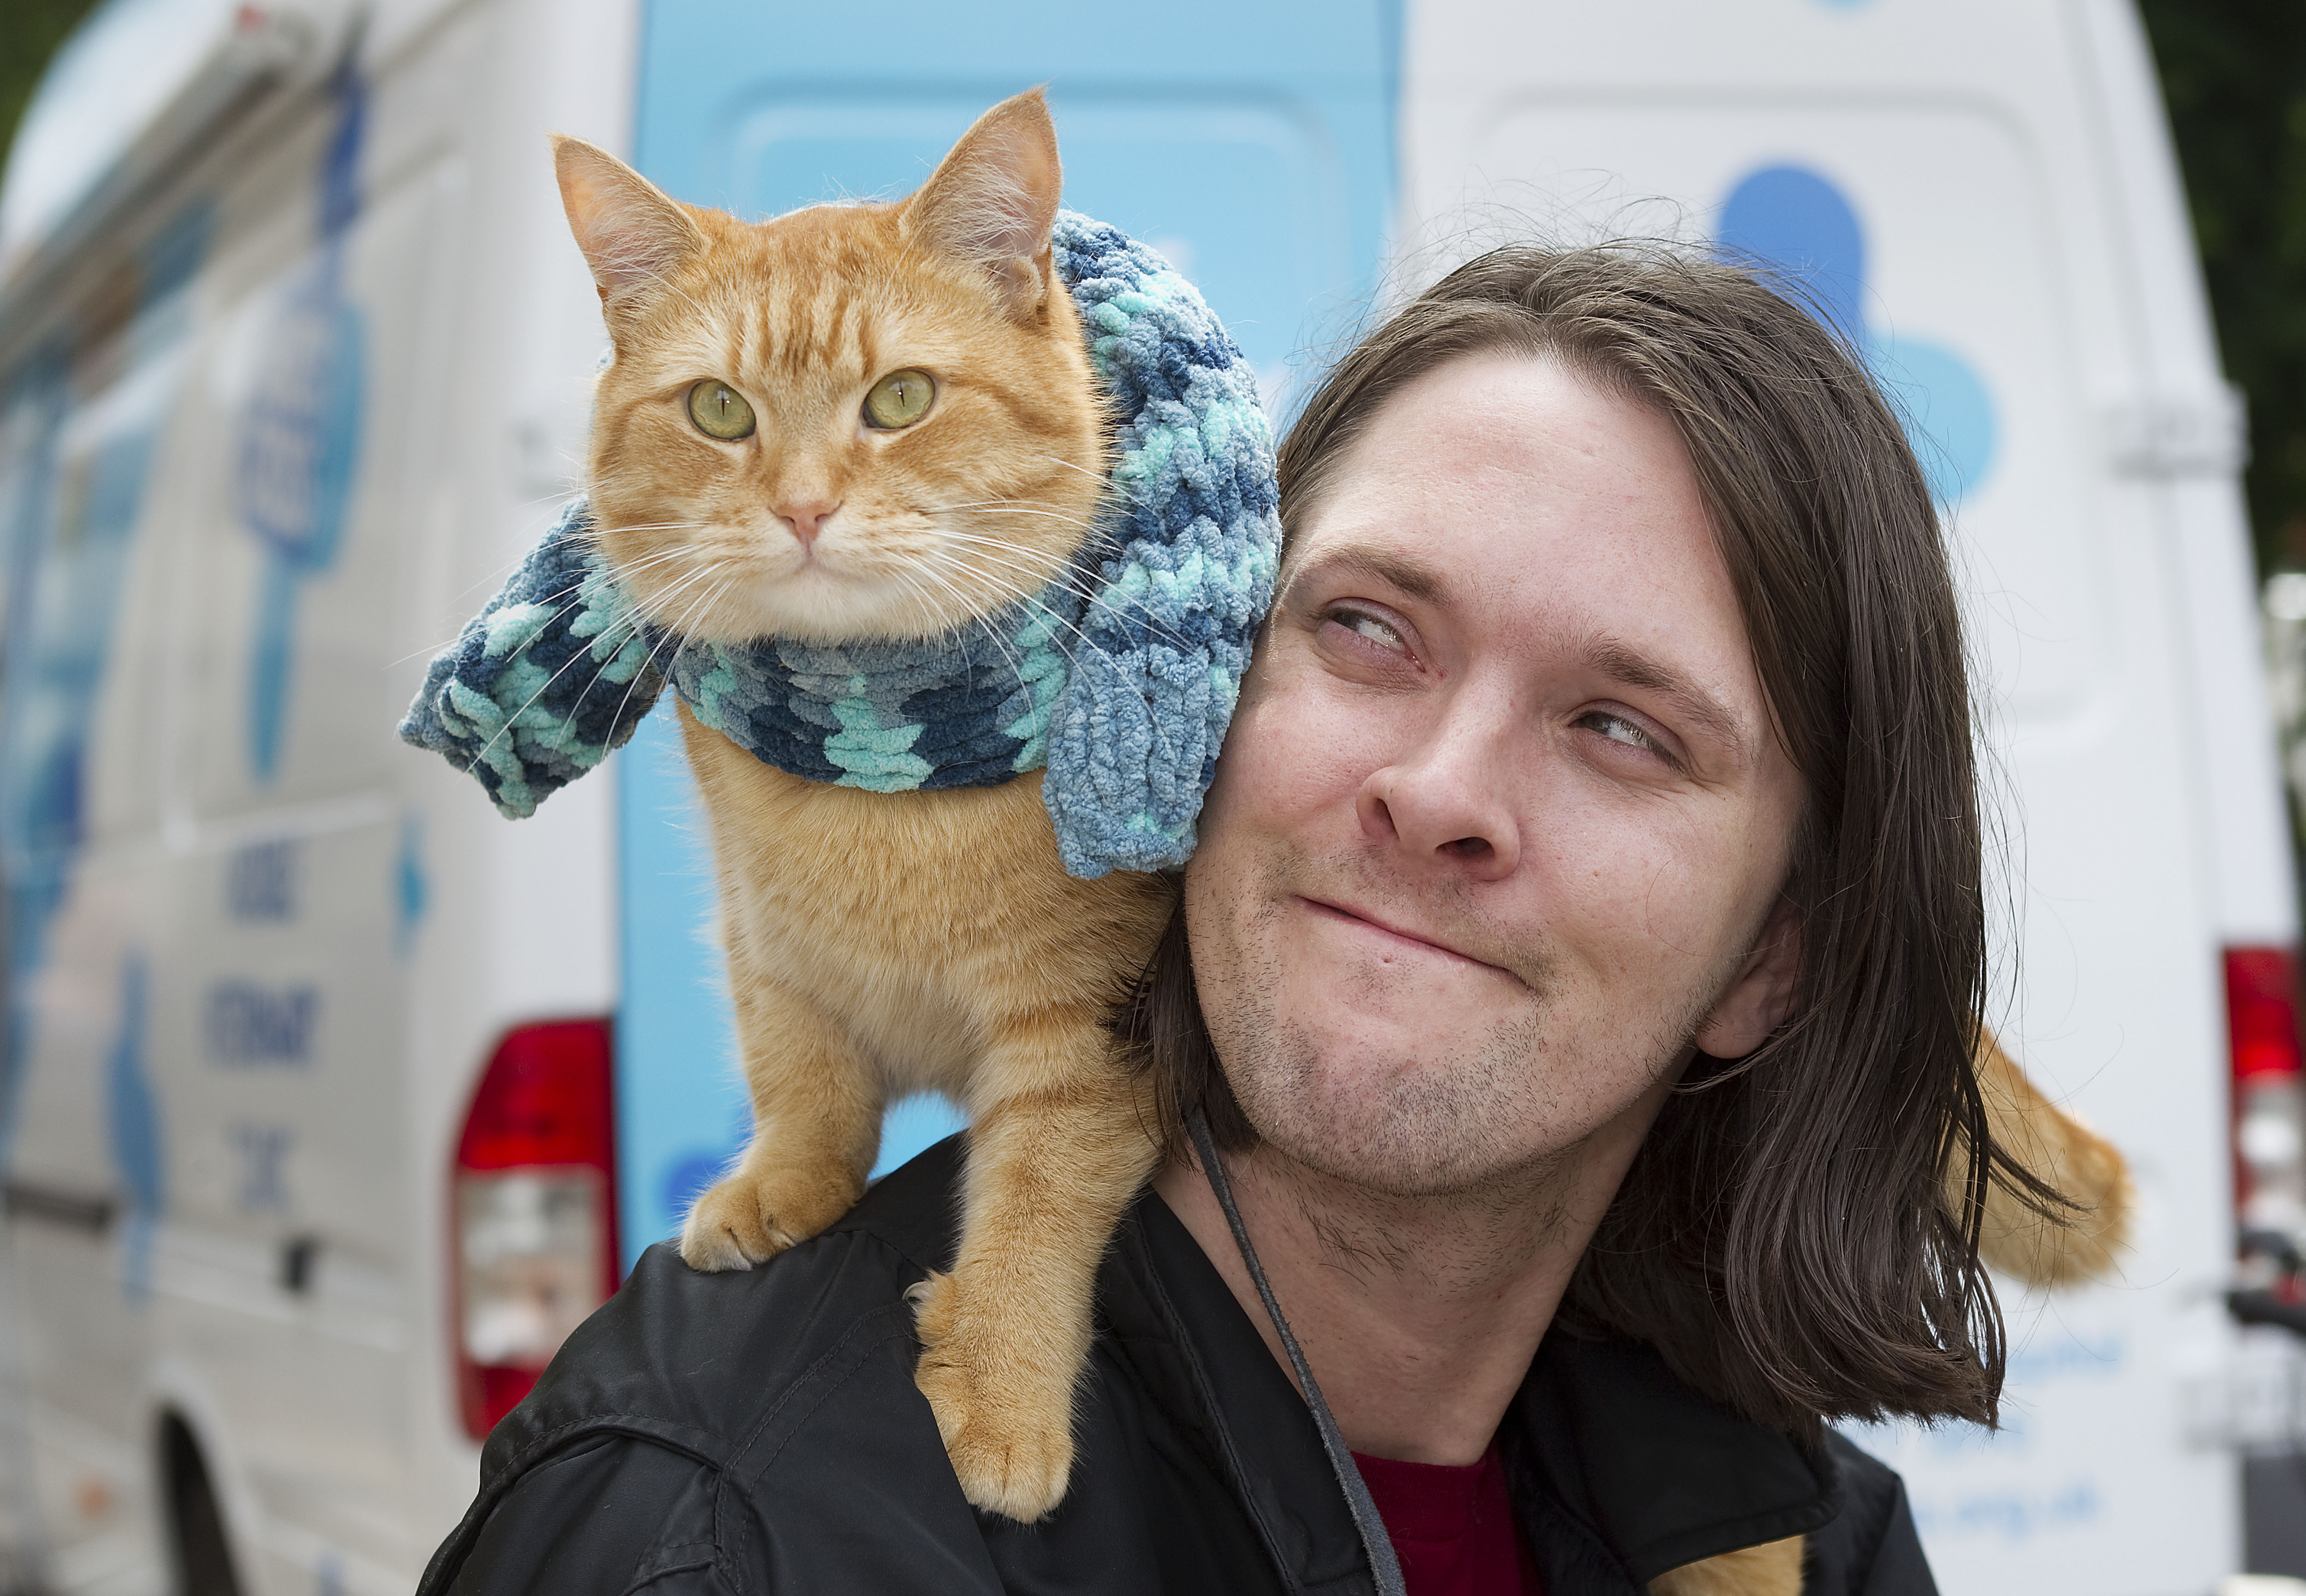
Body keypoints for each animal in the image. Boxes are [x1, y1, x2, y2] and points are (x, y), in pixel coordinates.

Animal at [556, 93, 1171, 1513]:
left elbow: (1036, 1196)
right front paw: (785, 1179)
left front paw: (999, 1382)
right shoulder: (763, 929)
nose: (802, 507)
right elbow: (801, 1065)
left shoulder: (1091, 1020)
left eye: (900, 399)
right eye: (718, 409)